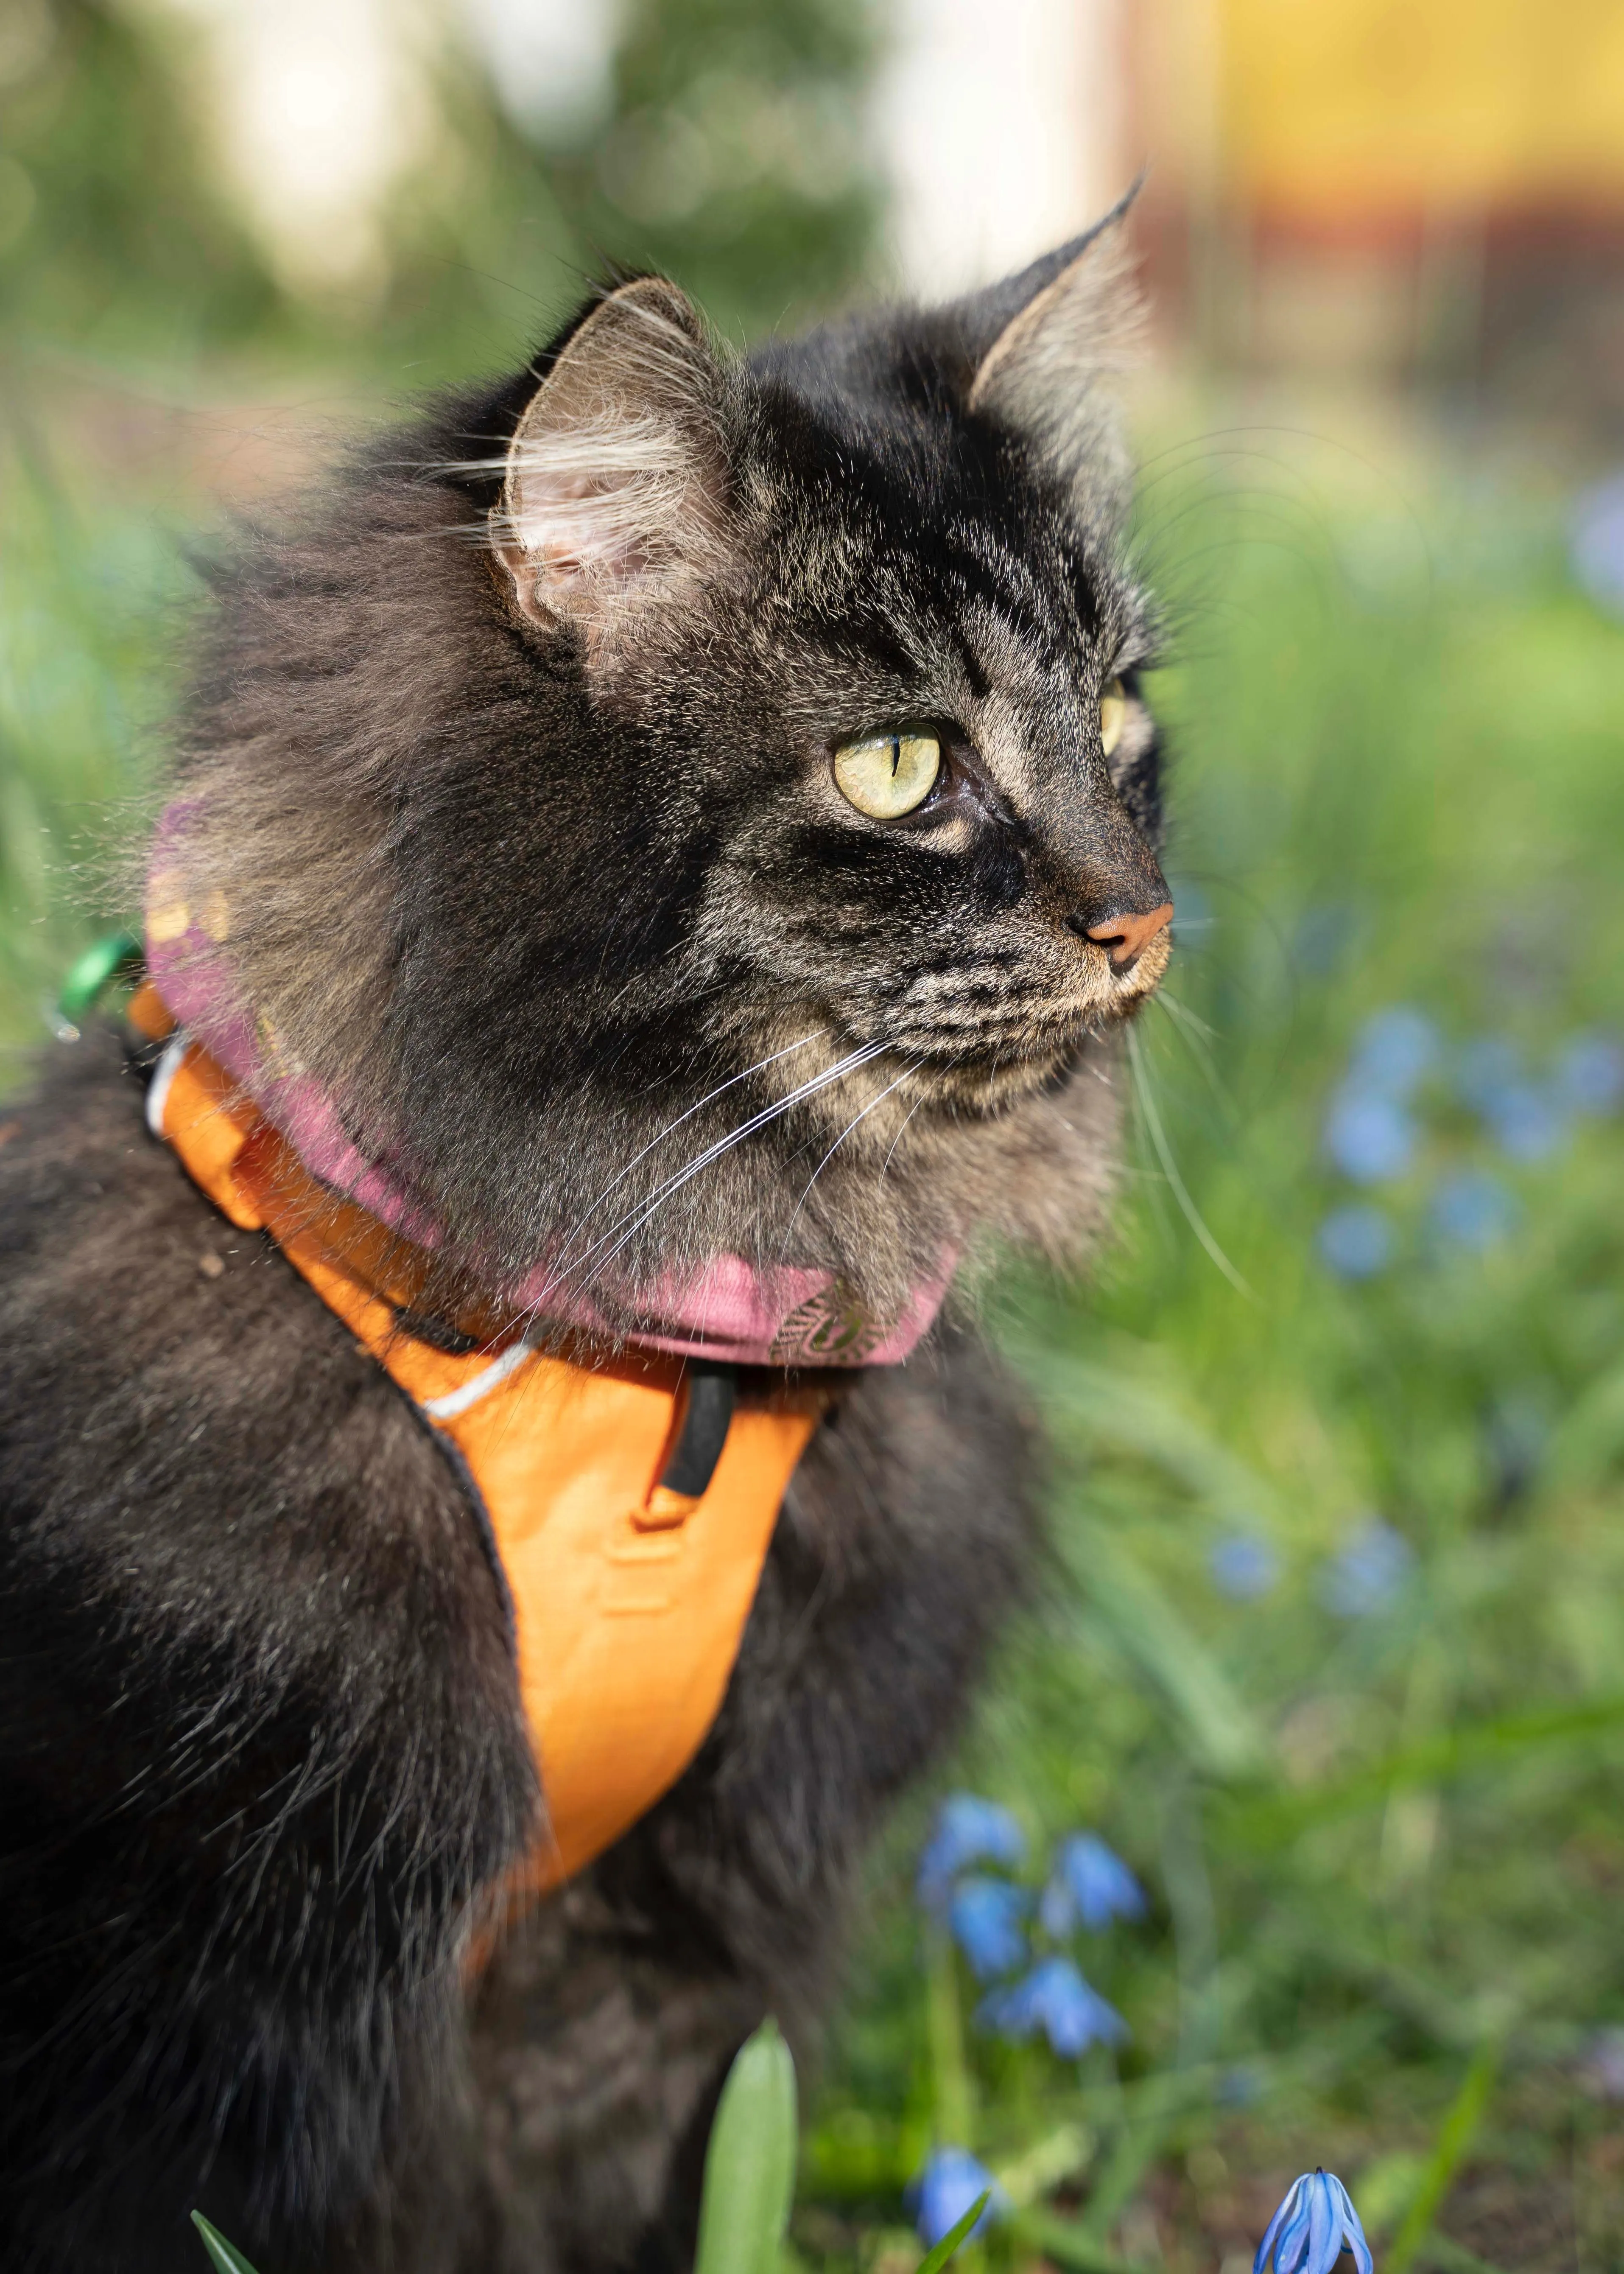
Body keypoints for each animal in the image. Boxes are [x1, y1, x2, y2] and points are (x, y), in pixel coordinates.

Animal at [0, 200, 1164, 2274]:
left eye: (1118, 719)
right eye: (900, 769)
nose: (1145, 917)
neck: (643, 1364)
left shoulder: (661, 1967)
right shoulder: (191, 2011)